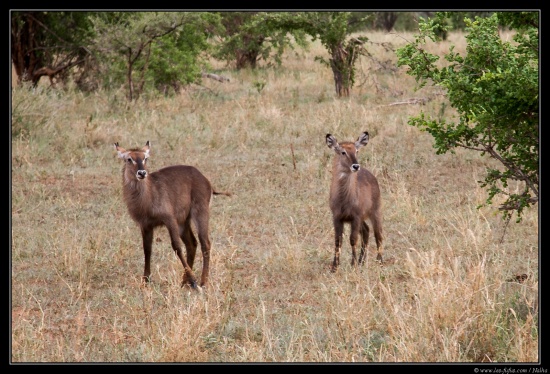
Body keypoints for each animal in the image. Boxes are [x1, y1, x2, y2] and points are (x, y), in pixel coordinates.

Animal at [114, 142, 231, 288]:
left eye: (145, 158)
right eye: (129, 159)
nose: (142, 173)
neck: (148, 196)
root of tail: (204, 179)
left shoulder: (169, 219)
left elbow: (177, 247)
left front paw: (194, 280)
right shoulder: (145, 225)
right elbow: (147, 249)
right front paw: (145, 280)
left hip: (200, 213)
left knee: (205, 243)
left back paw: (202, 282)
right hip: (183, 222)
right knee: (192, 244)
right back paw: (184, 281)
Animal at [328, 131, 384, 272]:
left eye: (356, 150)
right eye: (343, 152)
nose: (356, 166)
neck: (343, 199)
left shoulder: (355, 217)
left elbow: (353, 239)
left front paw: (352, 264)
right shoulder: (337, 217)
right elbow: (338, 241)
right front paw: (335, 267)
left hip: (375, 212)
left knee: (378, 234)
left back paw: (379, 261)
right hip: (363, 218)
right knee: (366, 231)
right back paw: (361, 261)